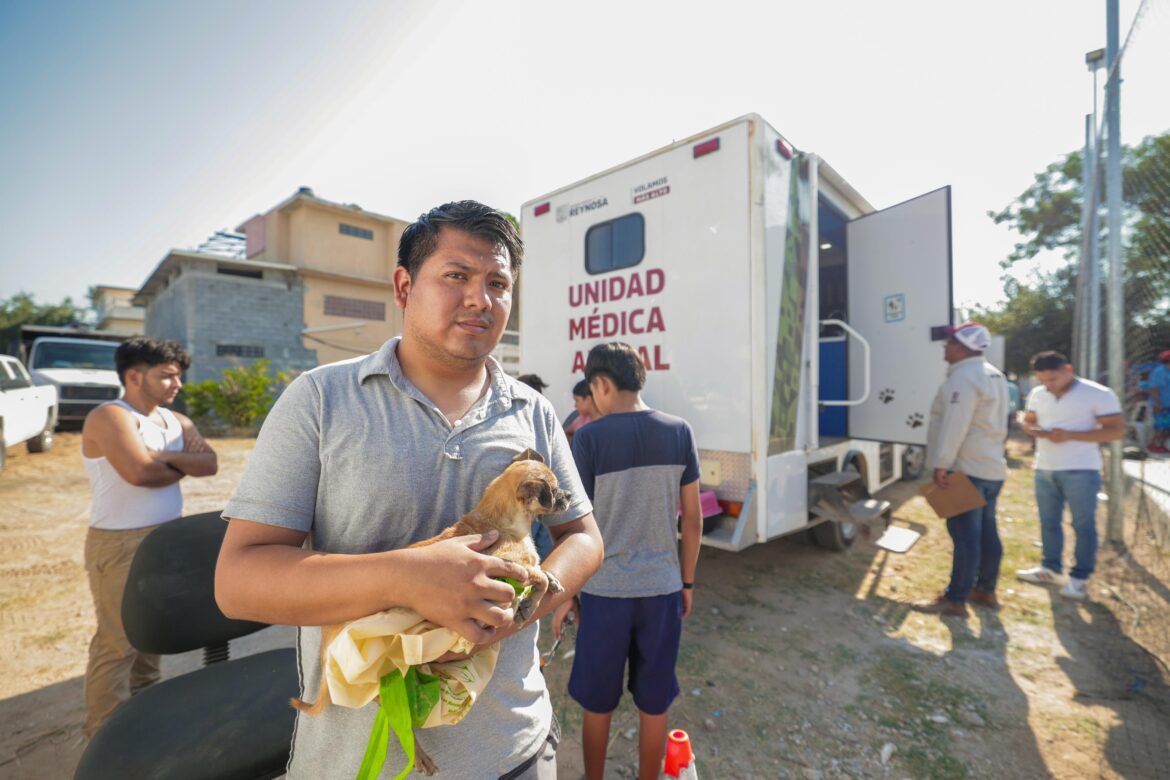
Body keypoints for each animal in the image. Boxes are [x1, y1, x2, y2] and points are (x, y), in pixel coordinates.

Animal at [290, 451, 568, 776]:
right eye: (554, 490)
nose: (569, 496)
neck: (501, 522)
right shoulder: (506, 567)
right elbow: (535, 576)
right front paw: (529, 603)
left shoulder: (522, 565)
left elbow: (541, 570)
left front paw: (552, 580)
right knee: (392, 716)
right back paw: (420, 756)